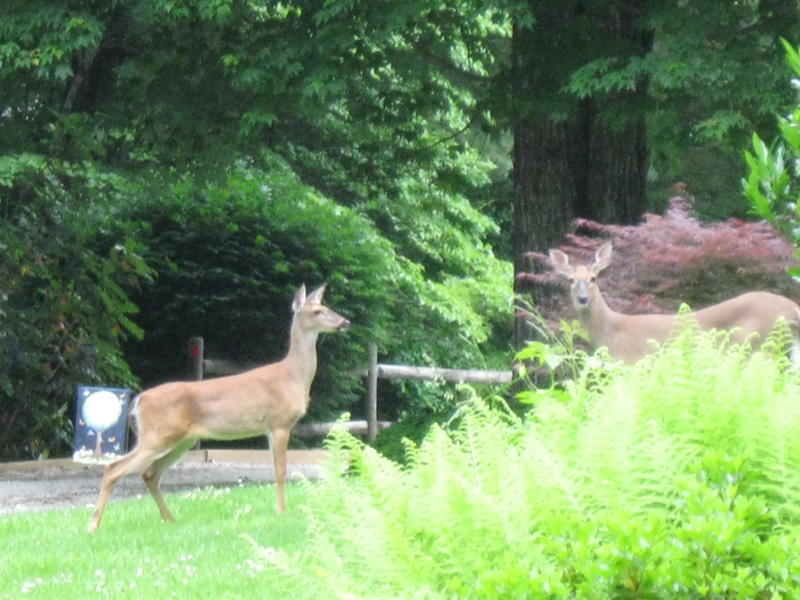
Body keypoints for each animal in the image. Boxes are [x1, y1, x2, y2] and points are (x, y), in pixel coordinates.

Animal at [87, 284, 350, 532]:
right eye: (318, 311)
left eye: (327, 307)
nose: (344, 322)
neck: (294, 376)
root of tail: (139, 400)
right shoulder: (280, 423)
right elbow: (281, 471)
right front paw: (281, 512)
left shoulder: (269, 428)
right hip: (157, 435)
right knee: (113, 468)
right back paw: (93, 525)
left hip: (181, 439)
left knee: (149, 473)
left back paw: (170, 519)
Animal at [552, 241, 800, 364]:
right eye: (570, 280)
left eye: (594, 278)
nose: (582, 299)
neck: (610, 332)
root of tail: (793, 307)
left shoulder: (635, 364)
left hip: (761, 347)